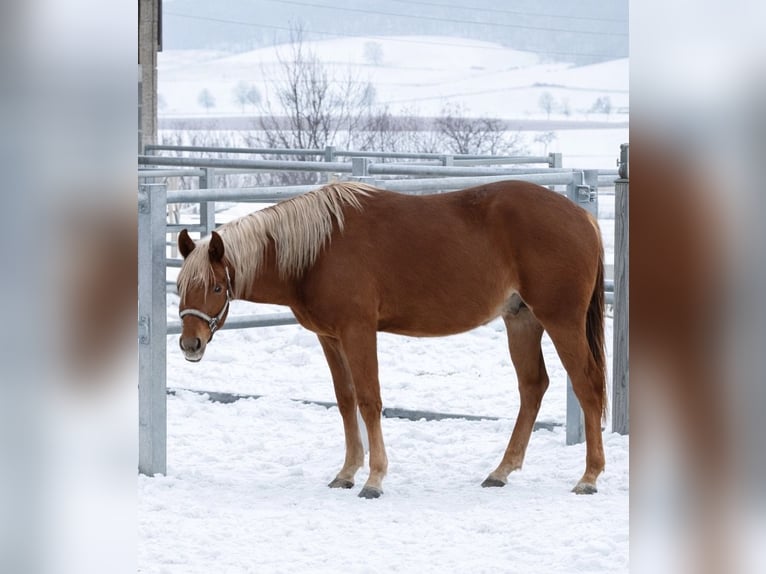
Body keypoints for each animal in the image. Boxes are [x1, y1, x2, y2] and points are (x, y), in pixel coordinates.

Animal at [176, 180, 606, 498]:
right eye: (180, 286)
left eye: (216, 287)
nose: (190, 345)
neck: (319, 249)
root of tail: (583, 216)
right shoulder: (330, 338)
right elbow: (346, 401)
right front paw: (346, 472)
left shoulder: (358, 331)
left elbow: (369, 401)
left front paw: (374, 479)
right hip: (521, 321)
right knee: (533, 386)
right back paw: (501, 471)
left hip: (561, 321)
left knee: (587, 385)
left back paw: (589, 477)